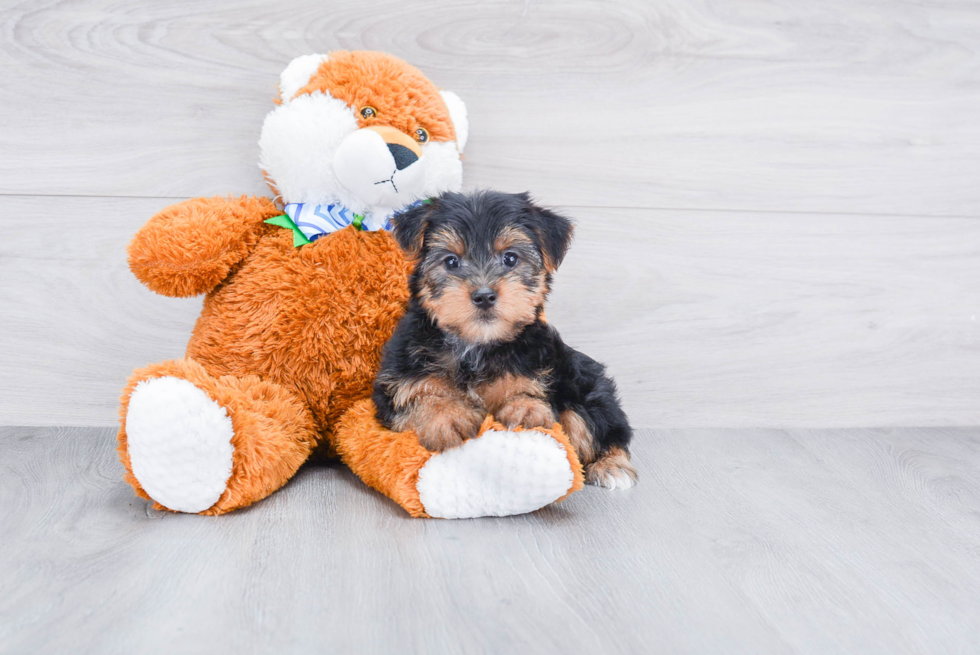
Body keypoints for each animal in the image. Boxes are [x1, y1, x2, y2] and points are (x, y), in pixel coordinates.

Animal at [374, 190, 636, 486]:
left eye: (510, 258)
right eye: (451, 261)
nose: (484, 295)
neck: (476, 346)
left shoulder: (533, 365)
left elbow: (524, 389)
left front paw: (525, 408)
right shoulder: (399, 380)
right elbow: (419, 396)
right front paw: (446, 415)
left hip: (586, 383)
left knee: (594, 424)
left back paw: (612, 466)